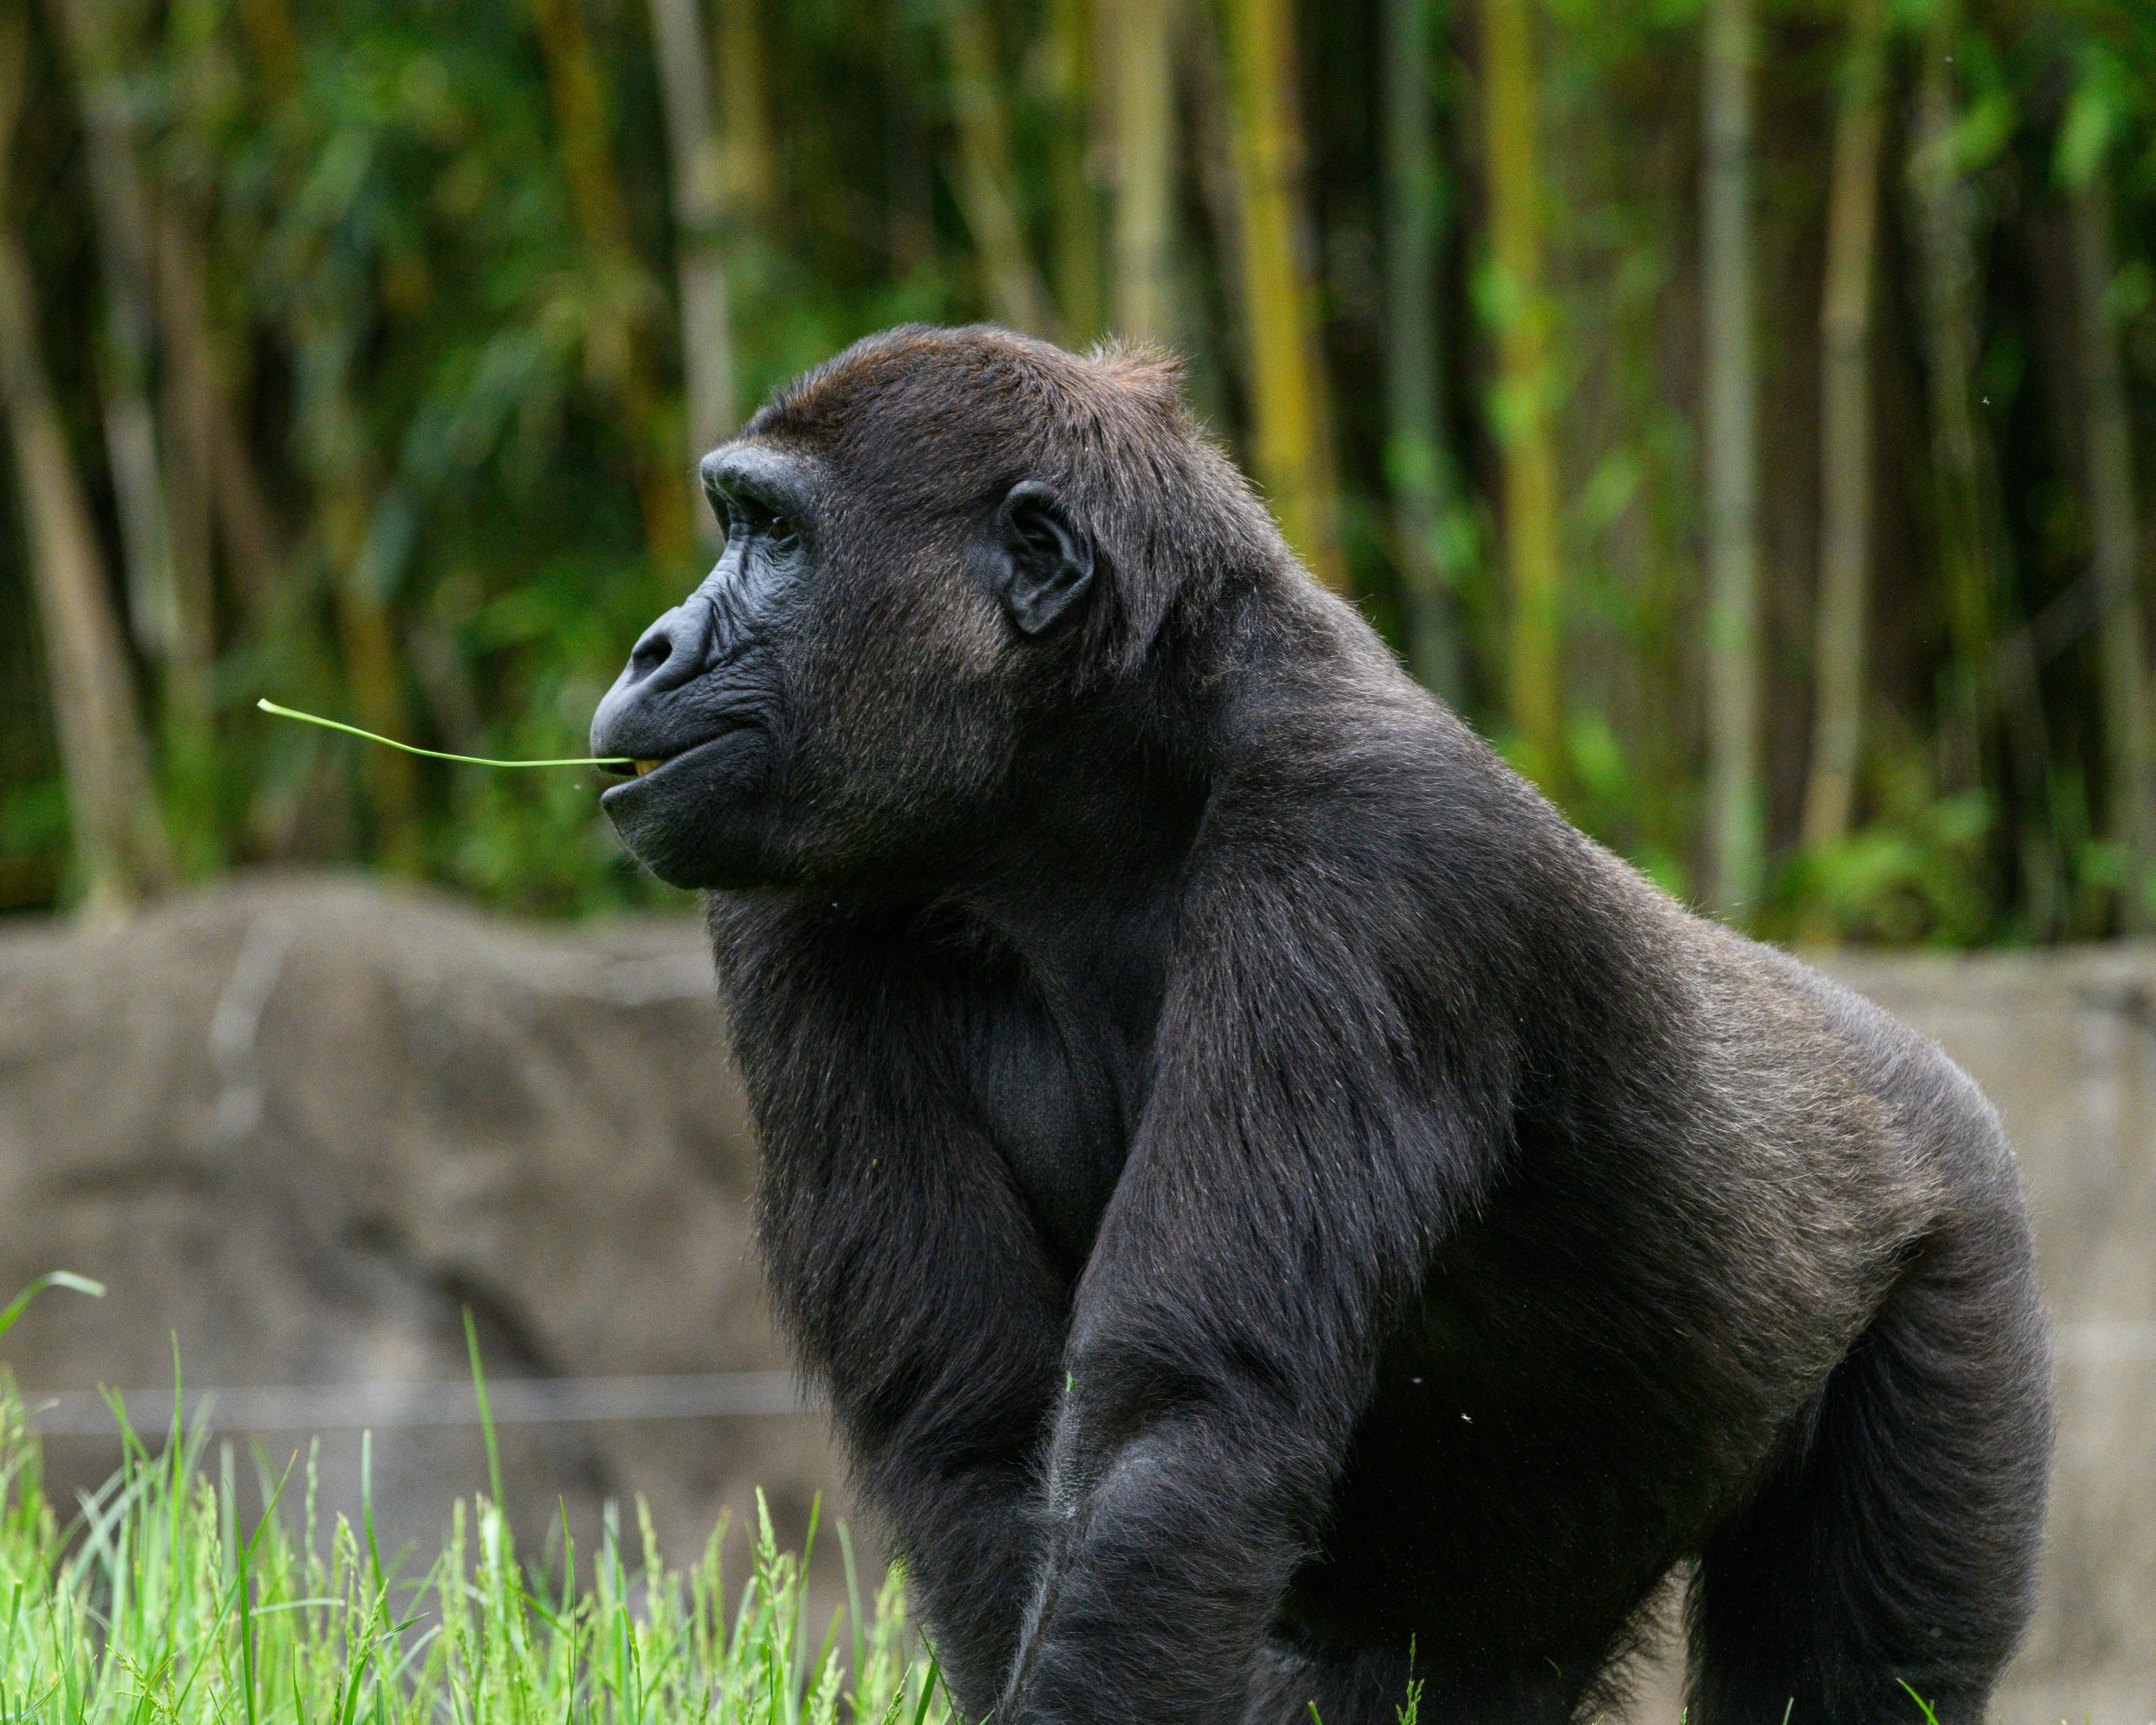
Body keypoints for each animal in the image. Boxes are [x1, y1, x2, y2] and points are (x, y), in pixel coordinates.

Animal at [590, 325, 2051, 1725]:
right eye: (737, 521)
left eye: (775, 535)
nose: (651, 647)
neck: (1092, 780)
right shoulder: (788, 894)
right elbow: (980, 1433)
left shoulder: (1374, 843)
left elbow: (1181, 1422)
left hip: (1957, 1244)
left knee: (1856, 1677)